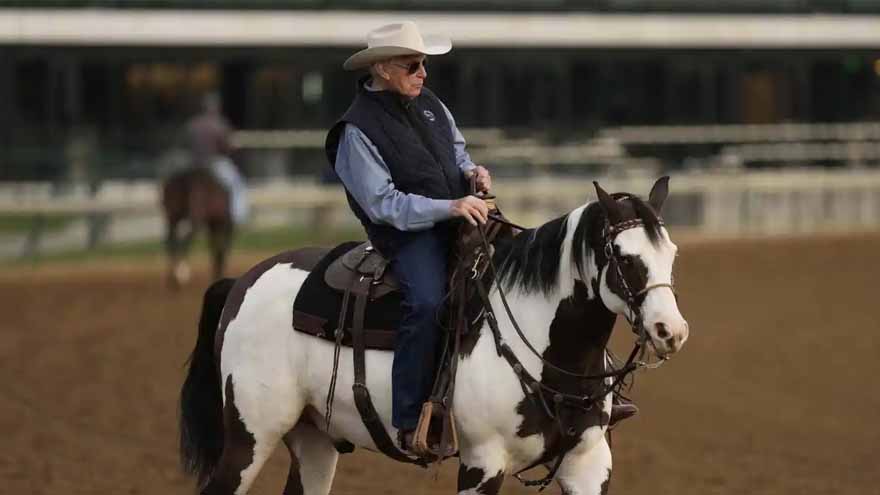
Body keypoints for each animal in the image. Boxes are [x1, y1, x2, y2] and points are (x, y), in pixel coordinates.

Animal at [179, 177, 689, 495]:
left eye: (671, 252)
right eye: (623, 256)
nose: (671, 331)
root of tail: (243, 280)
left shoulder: (588, 462)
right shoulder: (482, 463)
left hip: (314, 439)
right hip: (250, 435)